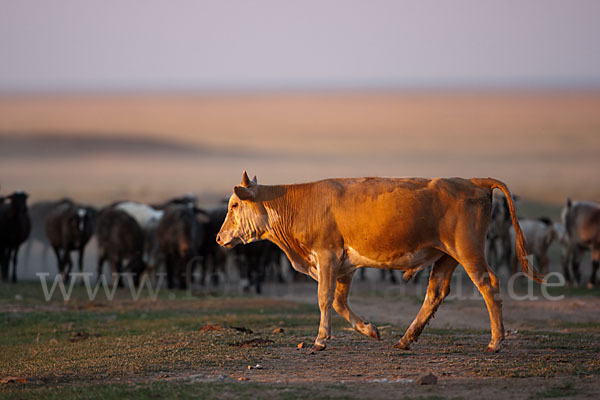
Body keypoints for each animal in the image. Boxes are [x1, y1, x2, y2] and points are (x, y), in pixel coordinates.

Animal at [217, 172, 544, 354]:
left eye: (234, 204)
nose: (219, 237)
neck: (298, 204)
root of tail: (473, 181)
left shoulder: (326, 256)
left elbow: (324, 299)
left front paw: (321, 340)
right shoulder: (345, 264)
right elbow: (339, 302)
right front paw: (369, 329)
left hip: (468, 251)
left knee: (489, 286)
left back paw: (495, 342)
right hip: (447, 257)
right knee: (435, 293)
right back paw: (406, 339)